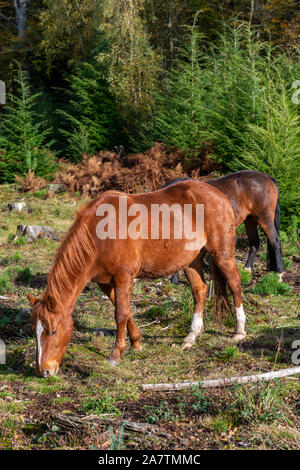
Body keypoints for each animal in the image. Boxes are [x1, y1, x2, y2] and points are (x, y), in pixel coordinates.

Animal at [27, 180, 246, 378]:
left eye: (53, 331)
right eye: (33, 330)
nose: (44, 371)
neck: (101, 234)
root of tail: (218, 194)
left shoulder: (124, 277)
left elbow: (121, 314)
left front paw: (116, 354)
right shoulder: (105, 282)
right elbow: (125, 310)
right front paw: (136, 342)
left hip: (222, 254)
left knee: (235, 285)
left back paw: (239, 331)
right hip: (193, 260)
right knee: (199, 291)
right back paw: (191, 336)